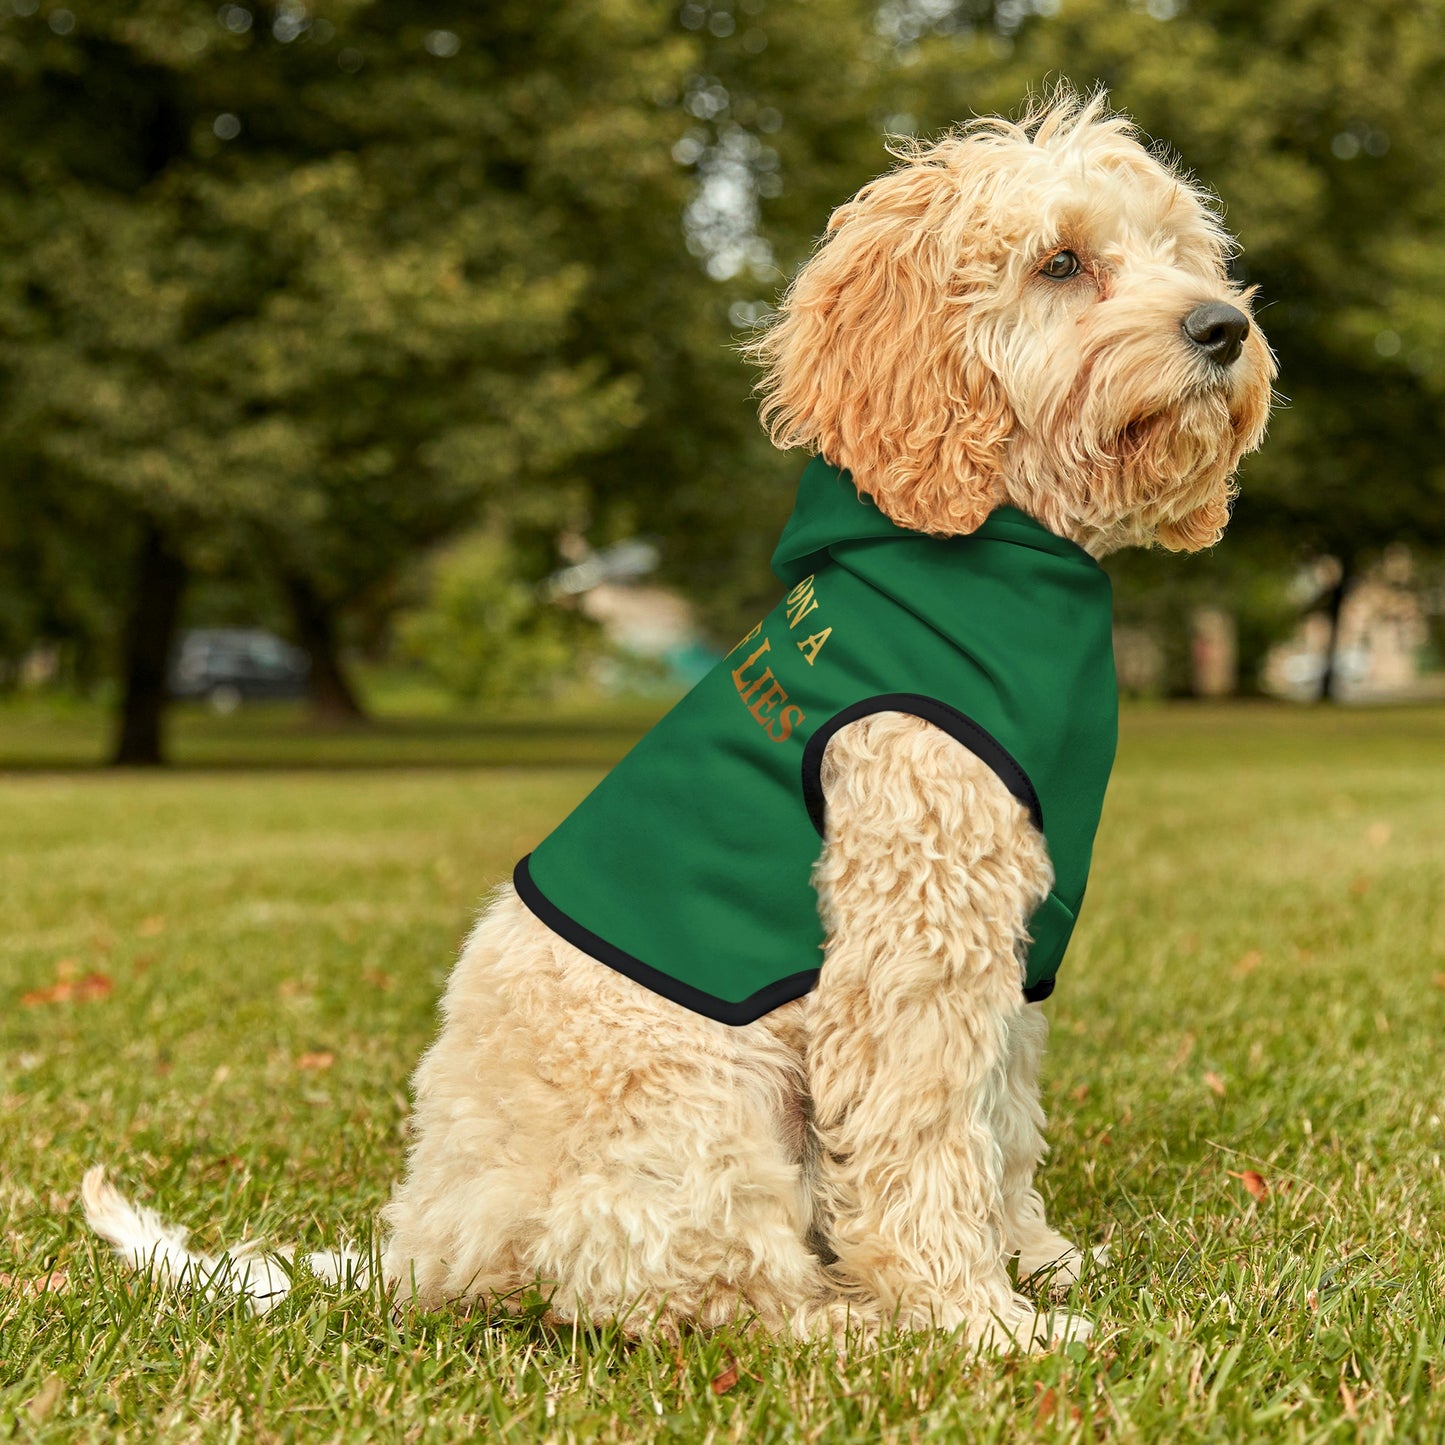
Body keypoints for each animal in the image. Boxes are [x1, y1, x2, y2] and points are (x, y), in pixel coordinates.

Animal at [84, 93, 1271, 1352]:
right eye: (1059, 262)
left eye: (1180, 252)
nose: (1222, 327)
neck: (987, 549)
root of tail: (423, 1246)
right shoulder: (913, 935)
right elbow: (924, 1137)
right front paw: (976, 1318)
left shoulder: (1011, 941)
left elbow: (999, 1119)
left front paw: (1034, 1260)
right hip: (704, 1101)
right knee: (697, 1291)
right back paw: (852, 1322)